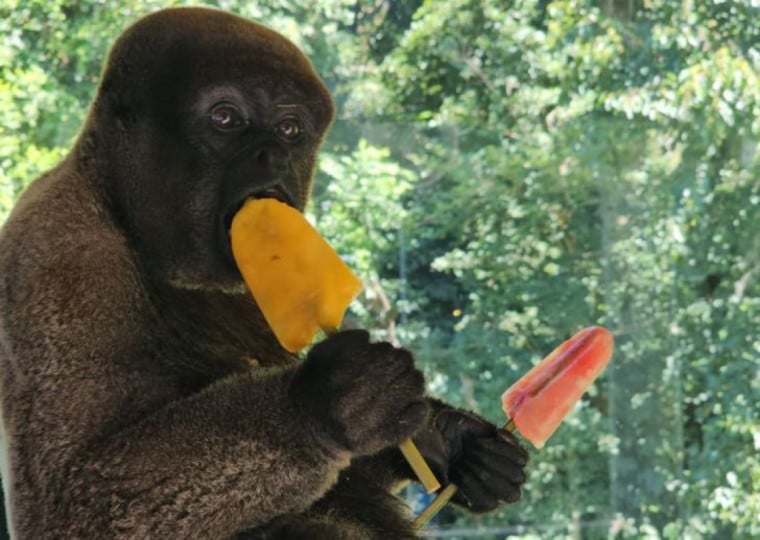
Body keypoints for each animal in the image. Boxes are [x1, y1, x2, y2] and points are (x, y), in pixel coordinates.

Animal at [0, 7, 527, 538]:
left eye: (290, 129)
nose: (274, 155)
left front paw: (452, 443)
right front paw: (324, 404)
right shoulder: (62, 258)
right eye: (225, 118)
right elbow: (76, 494)